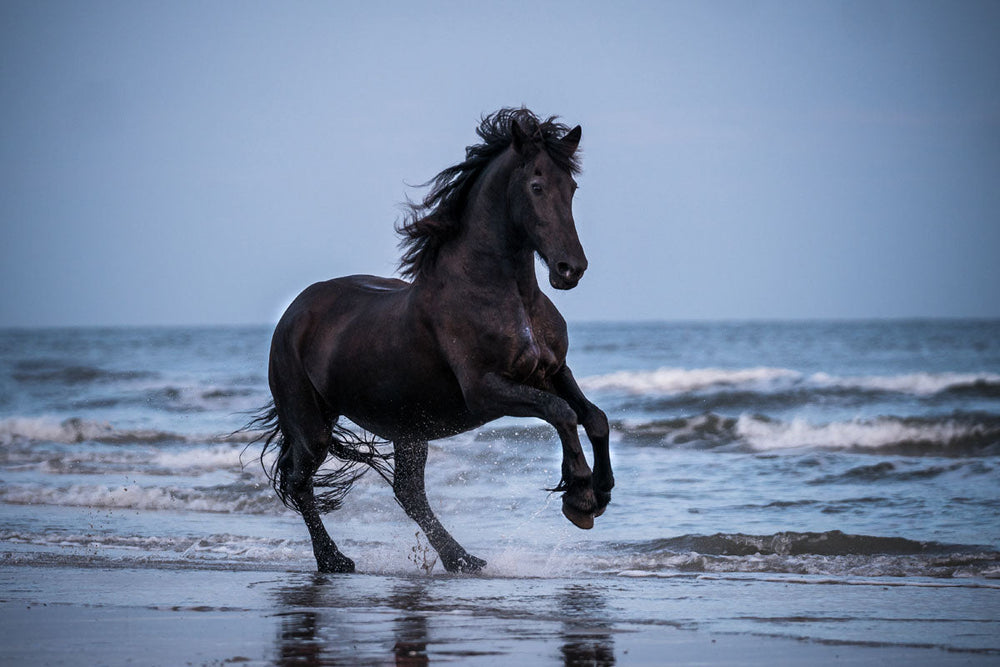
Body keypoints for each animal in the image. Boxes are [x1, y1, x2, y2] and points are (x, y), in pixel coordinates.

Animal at [250, 108, 613, 574]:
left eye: (571, 188)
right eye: (537, 186)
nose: (571, 269)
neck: (506, 294)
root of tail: (293, 314)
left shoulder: (552, 370)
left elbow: (594, 417)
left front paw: (603, 491)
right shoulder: (486, 390)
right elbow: (562, 413)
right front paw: (581, 499)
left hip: (408, 426)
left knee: (408, 492)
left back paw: (462, 559)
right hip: (311, 423)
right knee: (300, 483)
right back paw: (335, 559)